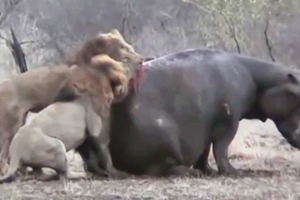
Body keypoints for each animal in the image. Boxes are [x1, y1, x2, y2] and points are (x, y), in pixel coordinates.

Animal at [0, 54, 127, 188]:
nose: (124, 64)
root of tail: (16, 153)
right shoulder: (96, 128)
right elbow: (104, 150)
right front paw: (114, 172)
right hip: (54, 144)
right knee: (64, 173)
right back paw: (86, 175)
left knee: (41, 174)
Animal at [76, 48, 300, 177]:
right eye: (298, 95)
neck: (262, 81)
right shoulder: (228, 122)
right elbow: (221, 148)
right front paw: (233, 172)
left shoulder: (205, 127)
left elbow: (205, 151)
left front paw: (208, 171)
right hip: (164, 137)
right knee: (162, 169)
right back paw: (188, 172)